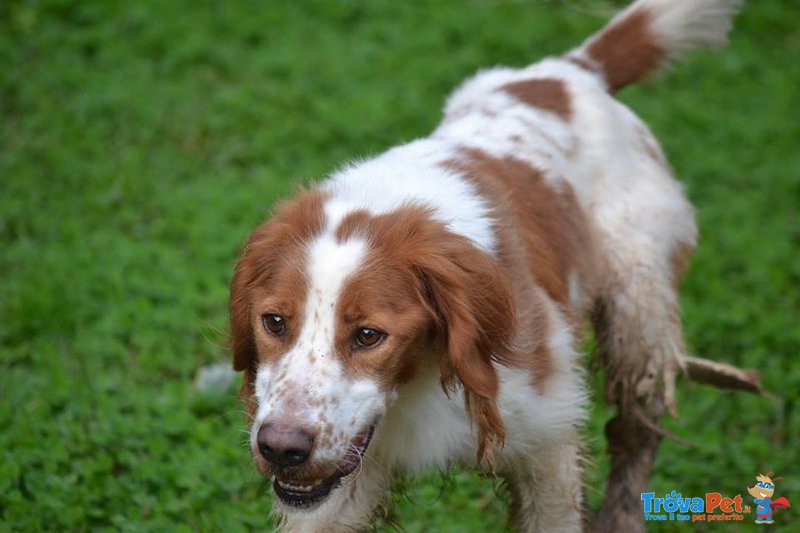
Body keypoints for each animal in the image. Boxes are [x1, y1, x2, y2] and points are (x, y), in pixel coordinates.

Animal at [230, 0, 744, 528]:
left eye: (369, 335)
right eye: (273, 322)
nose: (281, 448)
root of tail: (573, 69)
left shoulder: (549, 441)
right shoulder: (335, 491)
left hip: (637, 305)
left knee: (636, 427)